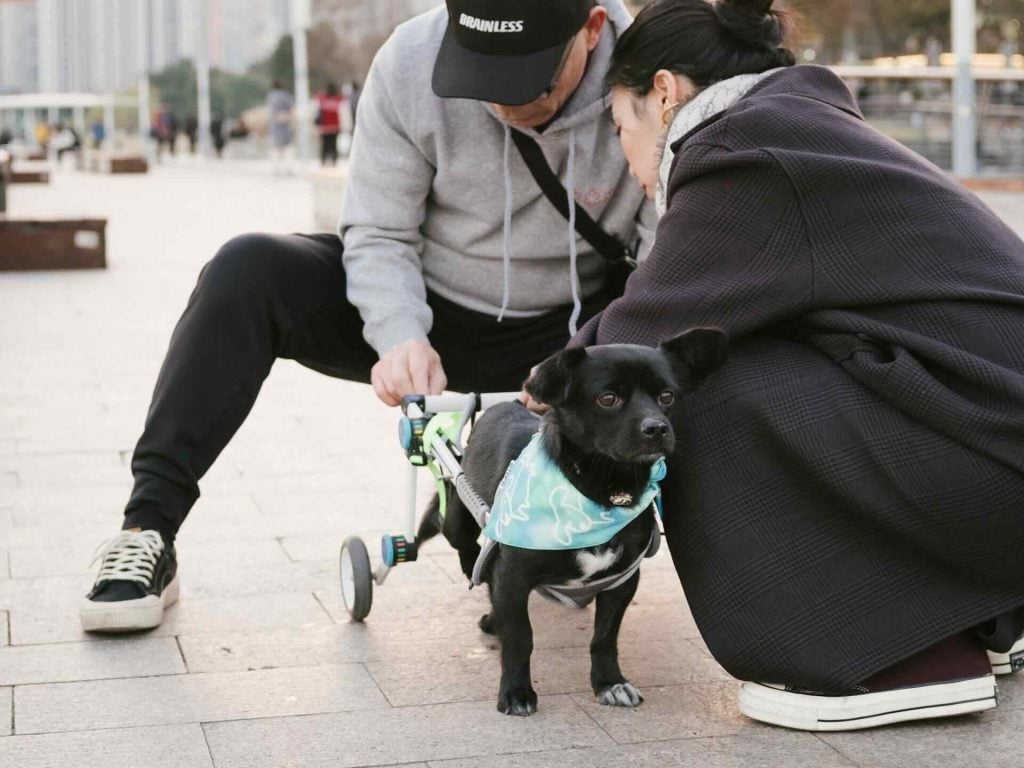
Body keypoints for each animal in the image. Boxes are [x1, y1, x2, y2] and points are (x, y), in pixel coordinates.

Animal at [415, 327, 729, 720]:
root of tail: (506, 404)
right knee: (464, 546)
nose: (657, 428)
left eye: (667, 396)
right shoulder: (512, 578)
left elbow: (604, 638)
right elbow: (520, 637)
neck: (601, 490)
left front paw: (610, 683)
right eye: (608, 398)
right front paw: (516, 692)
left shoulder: (622, 581)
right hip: (459, 519)